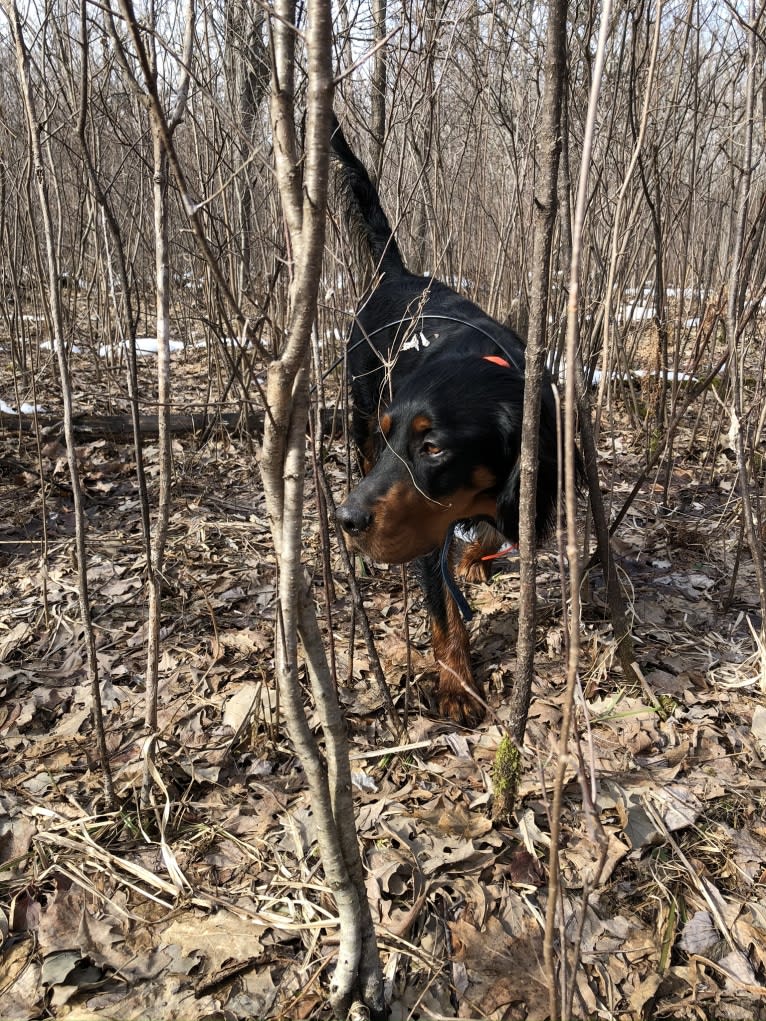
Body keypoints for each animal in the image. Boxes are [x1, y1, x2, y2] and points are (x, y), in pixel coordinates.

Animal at [332, 117, 559, 726]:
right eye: (397, 438)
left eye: (434, 448)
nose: (347, 520)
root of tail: (398, 274)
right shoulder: (420, 521)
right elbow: (443, 608)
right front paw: (458, 683)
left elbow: (495, 522)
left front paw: (476, 553)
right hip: (358, 413)